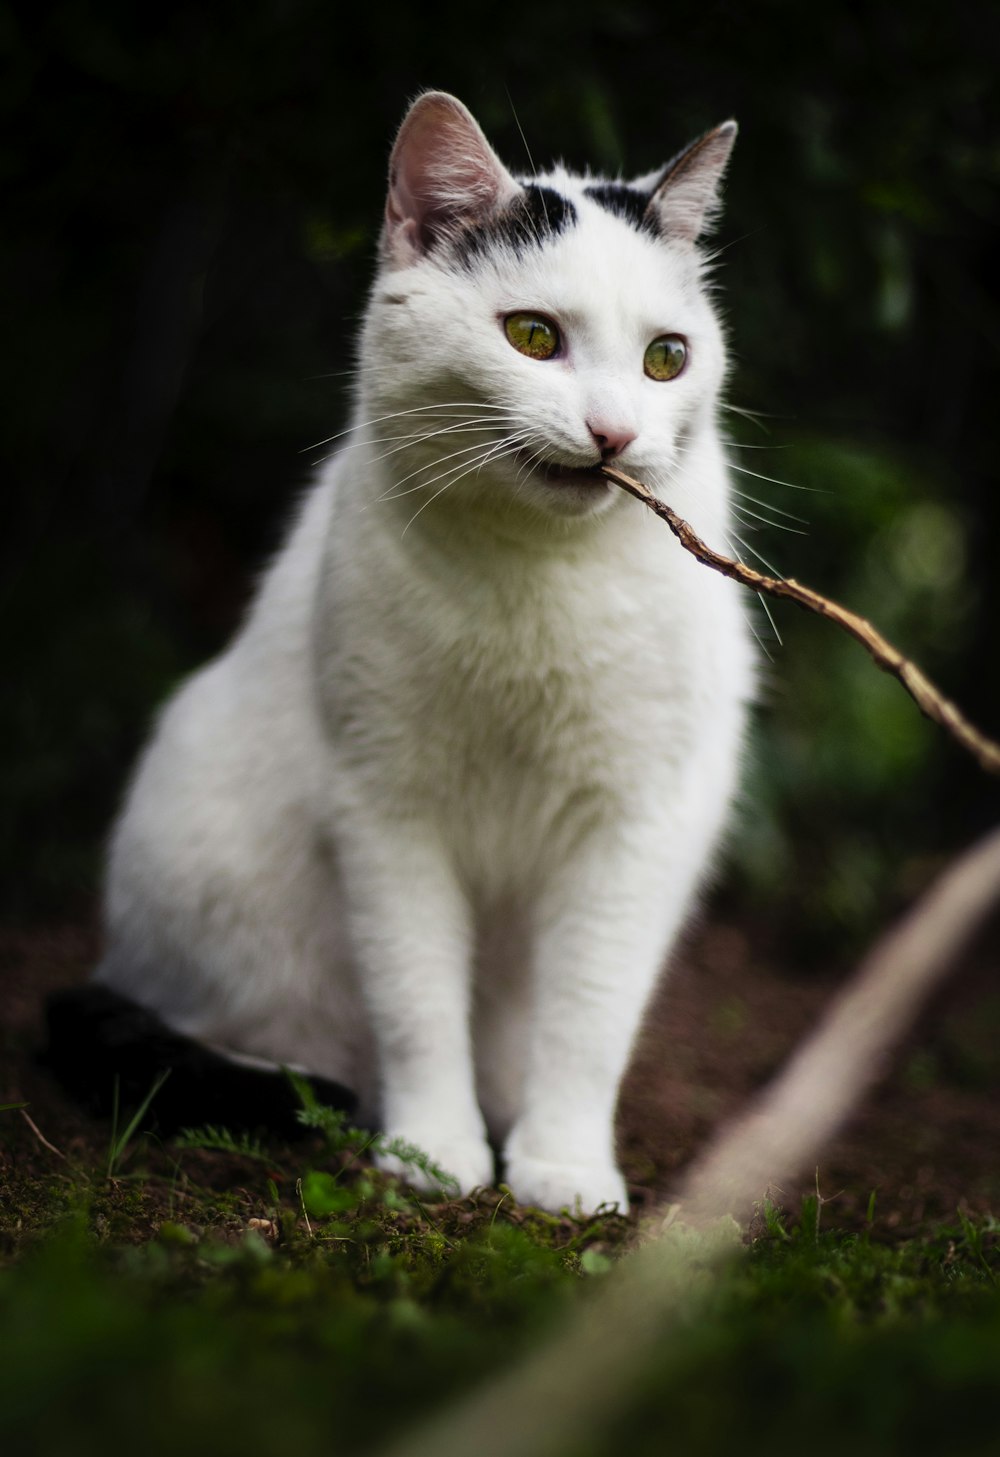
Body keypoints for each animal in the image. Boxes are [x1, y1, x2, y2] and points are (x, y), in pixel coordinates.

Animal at [80, 85, 752, 1212]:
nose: (614, 434)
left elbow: (589, 1013)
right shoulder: (386, 805)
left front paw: (565, 1165)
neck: (536, 580)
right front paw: (434, 1152)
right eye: (532, 335)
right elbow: (417, 998)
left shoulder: (639, 819)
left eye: (668, 356)